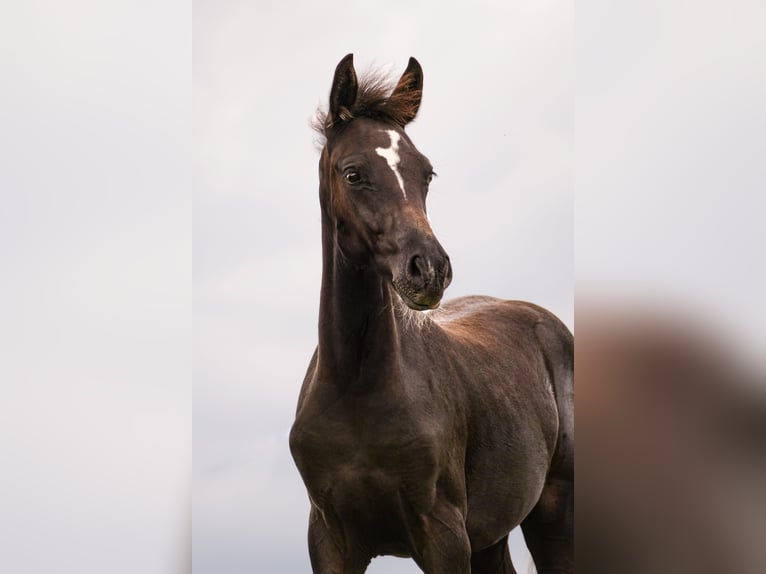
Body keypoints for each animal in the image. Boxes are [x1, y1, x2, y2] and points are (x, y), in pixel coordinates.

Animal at [292, 55, 572, 574]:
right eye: (353, 173)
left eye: (426, 173)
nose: (430, 270)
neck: (355, 390)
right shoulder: (329, 539)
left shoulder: (443, 536)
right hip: (491, 535)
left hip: (554, 517)